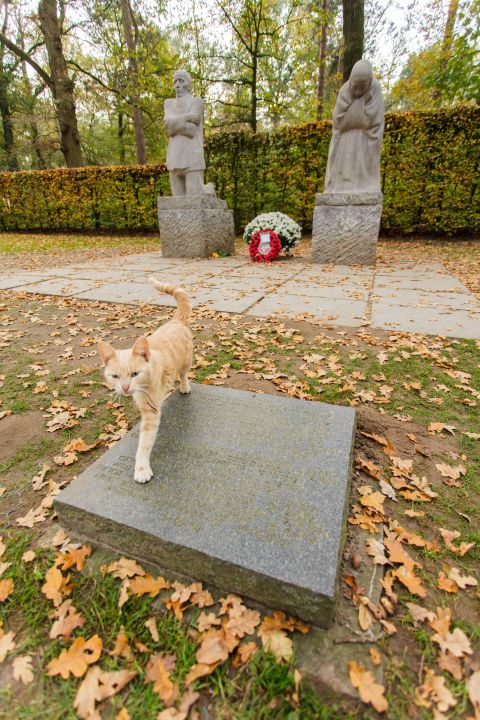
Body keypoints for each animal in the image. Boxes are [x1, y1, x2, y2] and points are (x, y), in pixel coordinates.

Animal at [98, 280, 193, 484]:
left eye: (135, 373)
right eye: (115, 376)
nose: (125, 387)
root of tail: (175, 320)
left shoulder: (150, 412)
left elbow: (144, 443)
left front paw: (141, 468)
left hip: (186, 362)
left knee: (183, 374)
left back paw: (184, 386)